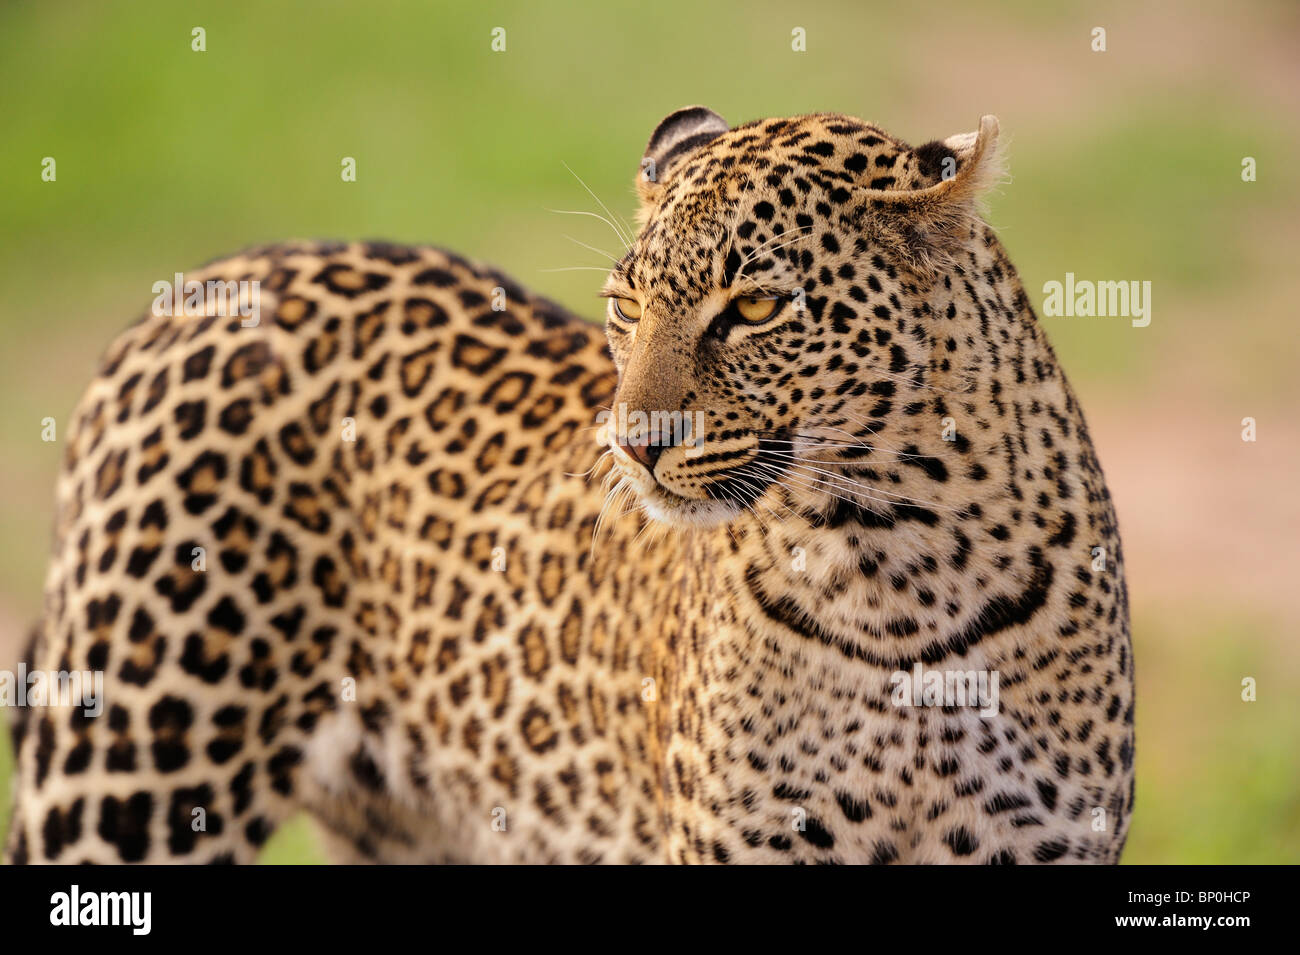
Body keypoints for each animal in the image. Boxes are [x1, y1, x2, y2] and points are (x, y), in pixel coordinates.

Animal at [3, 106, 1134, 865]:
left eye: (755, 306)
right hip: (127, 775)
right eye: (626, 305)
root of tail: (201, 286)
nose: (633, 445)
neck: (896, 558)